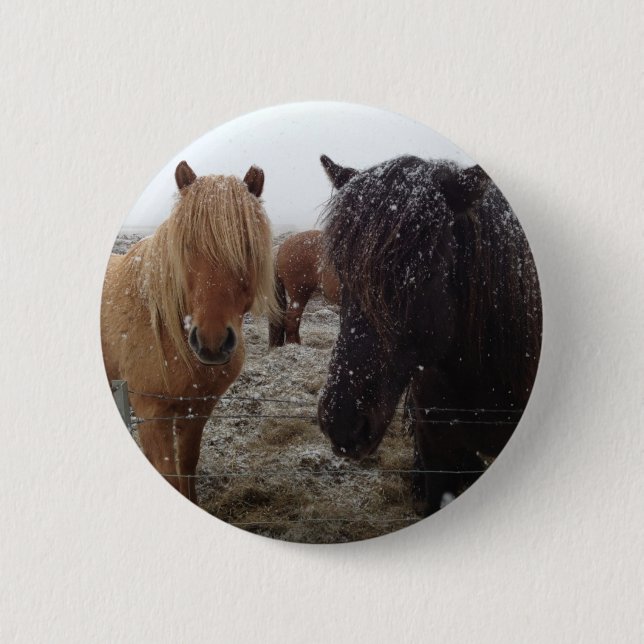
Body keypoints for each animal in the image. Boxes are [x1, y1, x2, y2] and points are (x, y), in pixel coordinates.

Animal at [101, 160, 276, 502]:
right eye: (186, 245)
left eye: (247, 246)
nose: (212, 342)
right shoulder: (153, 413)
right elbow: (168, 474)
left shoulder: (196, 411)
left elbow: (188, 464)